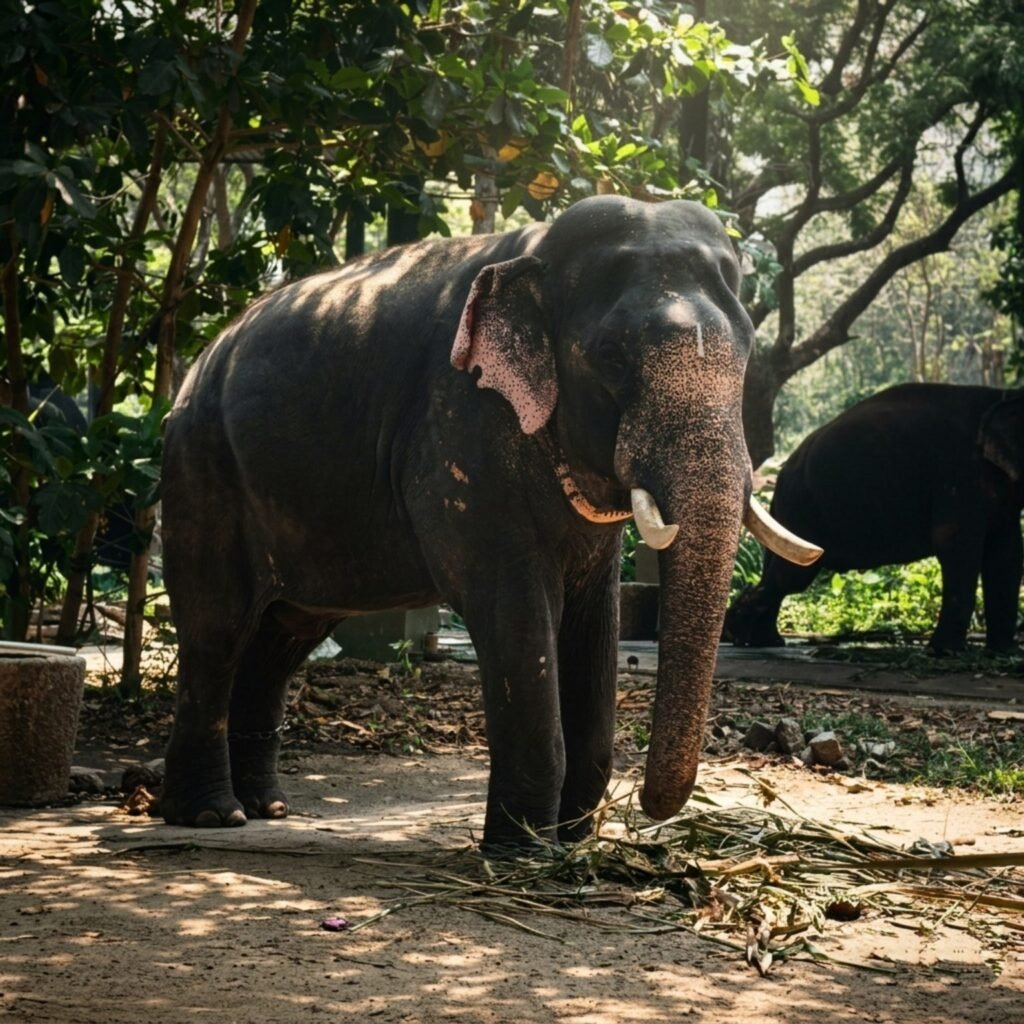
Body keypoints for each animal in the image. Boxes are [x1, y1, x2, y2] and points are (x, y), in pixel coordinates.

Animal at [159, 195, 819, 849]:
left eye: (747, 354)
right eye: (610, 358)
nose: (651, 809)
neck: (539, 249)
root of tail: (198, 364)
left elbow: (593, 616)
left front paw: (570, 845)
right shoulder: (459, 428)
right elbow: (511, 604)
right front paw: (524, 853)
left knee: (286, 634)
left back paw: (265, 808)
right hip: (201, 468)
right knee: (217, 626)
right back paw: (211, 816)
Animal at [725, 383, 1024, 654]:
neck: (1002, 395)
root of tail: (782, 473)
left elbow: (1006, 554)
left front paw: (1004, 652)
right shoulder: (958, 477)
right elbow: (957, 547)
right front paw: (945, 653)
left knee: (779, 571)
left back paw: (760, 640)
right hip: (800, 509)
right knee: (791, 576)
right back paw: (742, 636)